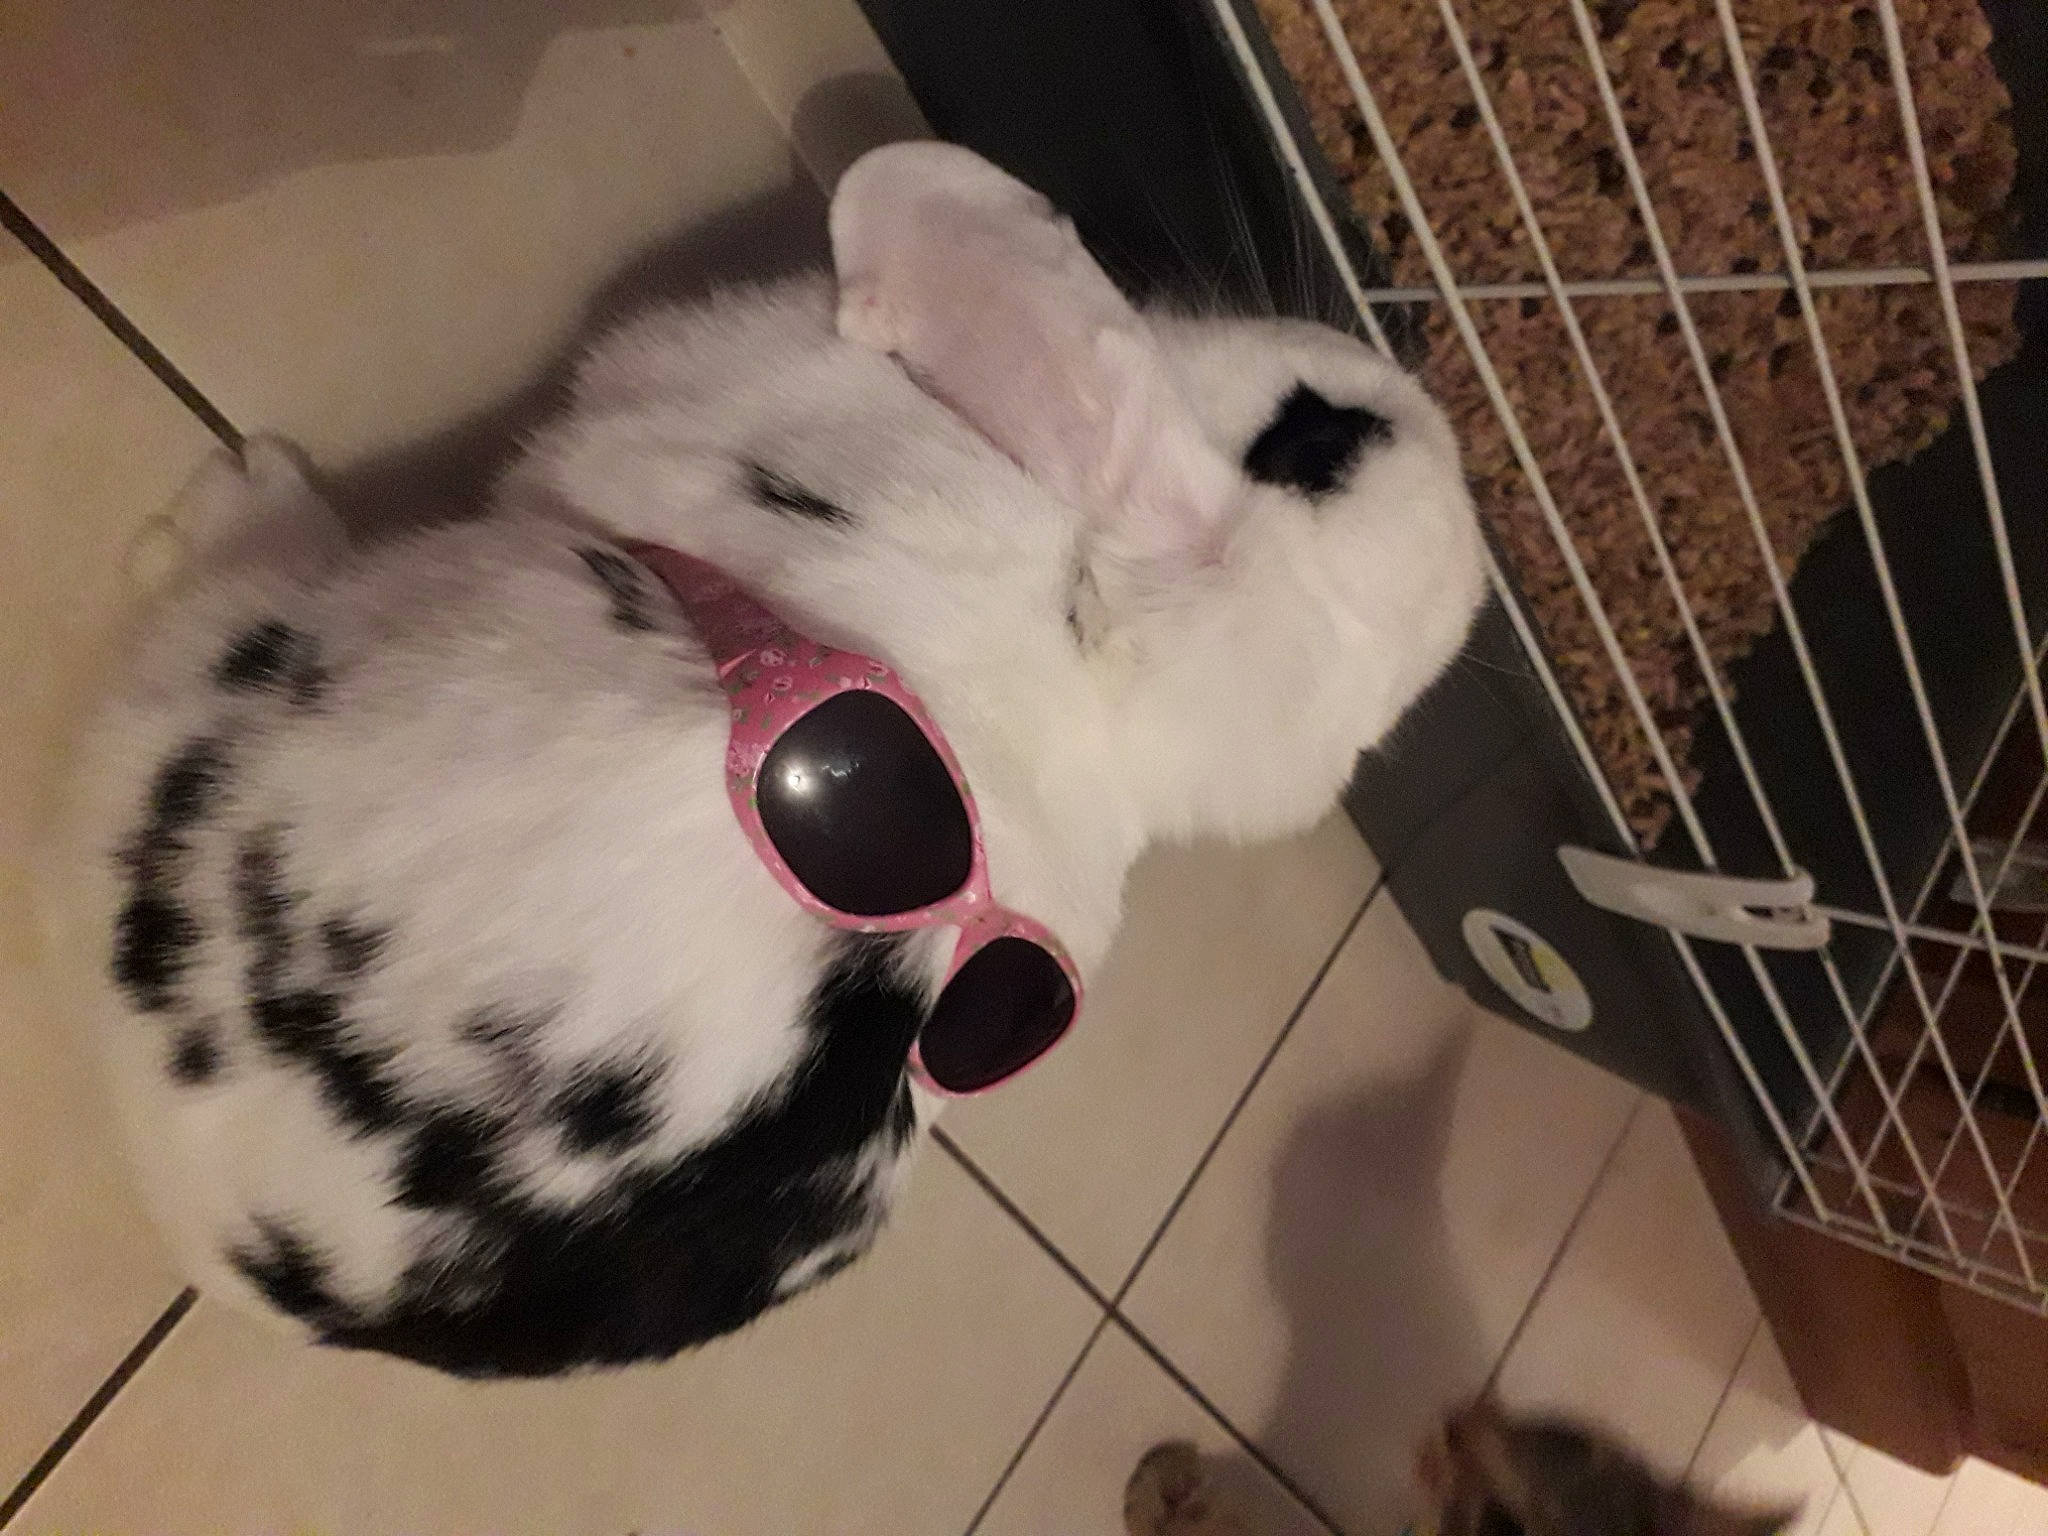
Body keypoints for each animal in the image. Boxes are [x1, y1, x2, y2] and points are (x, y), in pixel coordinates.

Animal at [50, 142, 1486, 1378]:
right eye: (1315, 433)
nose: (1397, 380)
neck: (1099, 663)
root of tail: (224, 1236)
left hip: (236, 672)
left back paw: (241, 490)